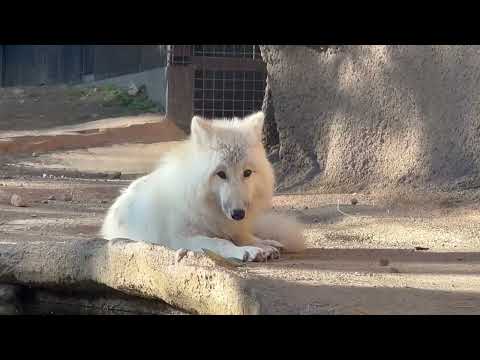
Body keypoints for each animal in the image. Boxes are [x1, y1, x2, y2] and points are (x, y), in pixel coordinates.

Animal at [101, 112, 304, 262]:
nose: (238, 214)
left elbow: (244, 236)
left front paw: (263, 244)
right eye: (221, 174)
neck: (205, 205)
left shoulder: (232, 227)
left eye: (247, 173)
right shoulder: (183, 238)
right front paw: (247, 251)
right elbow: (221, 242)